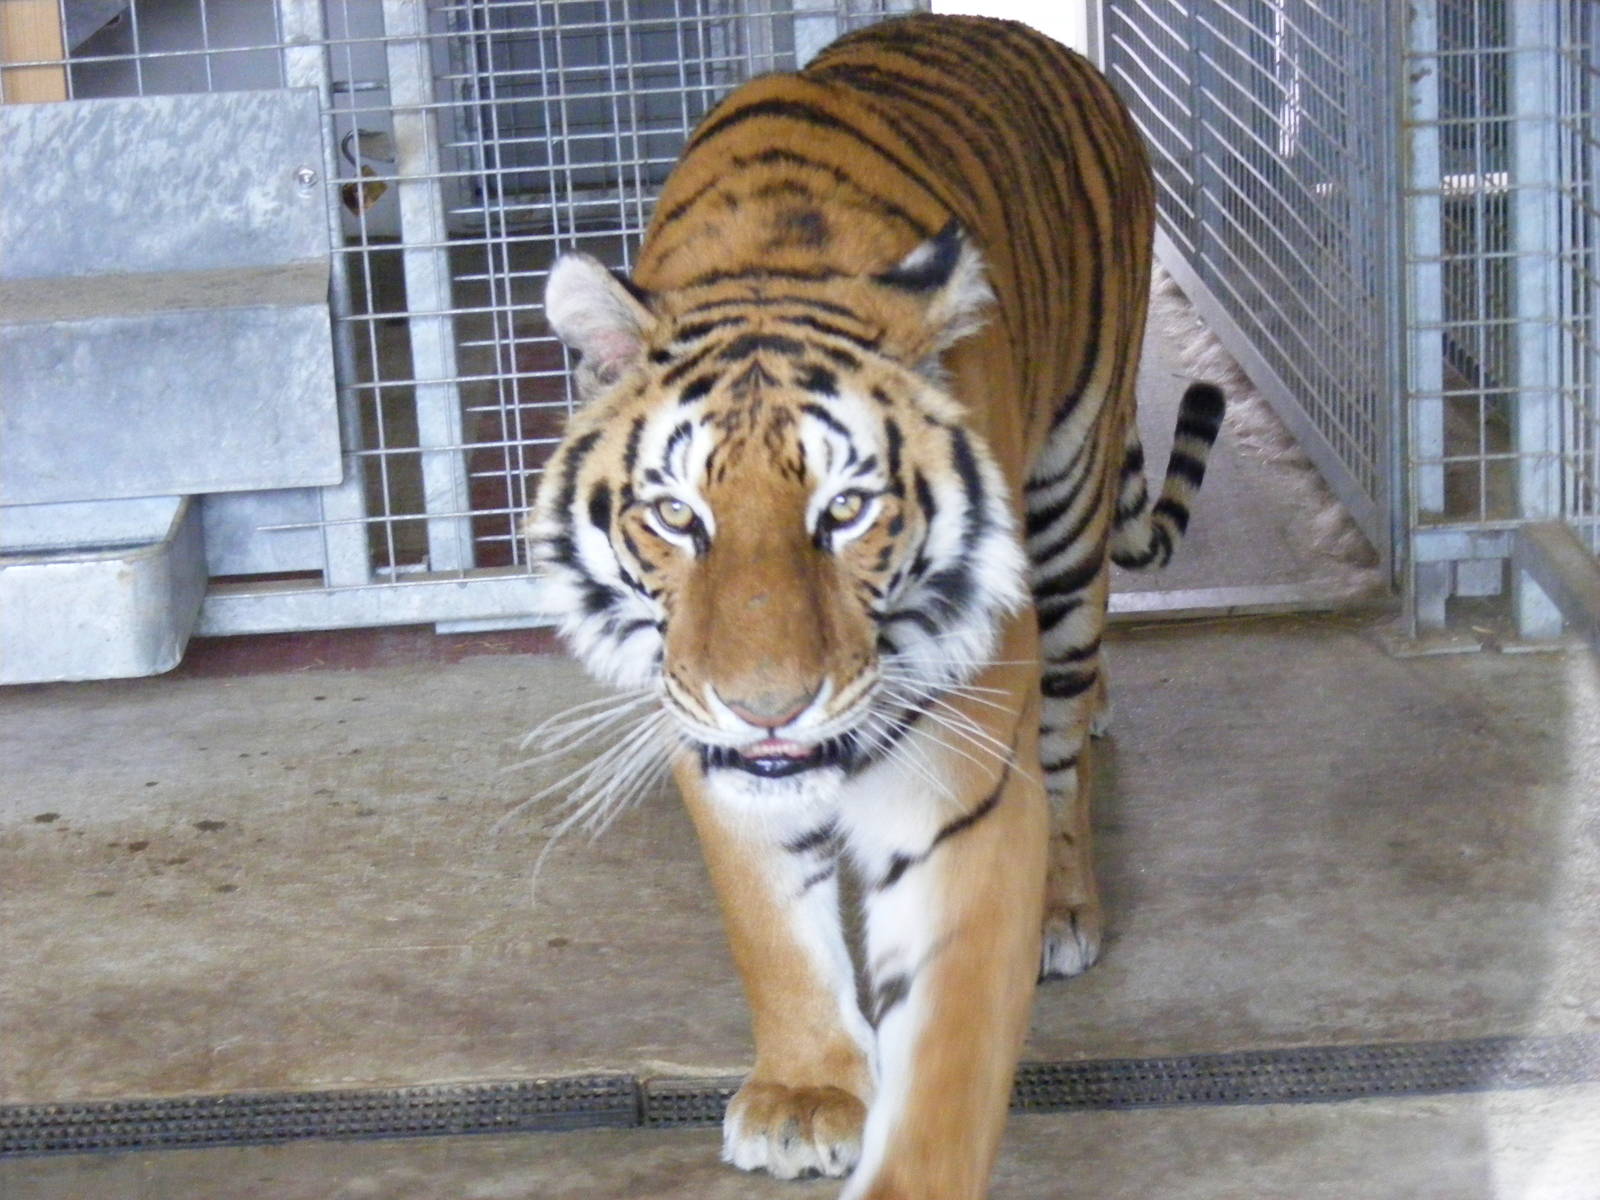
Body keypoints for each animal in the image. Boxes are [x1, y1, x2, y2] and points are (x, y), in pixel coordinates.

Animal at [527, 13, 1224, 1198]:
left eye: (846, 508)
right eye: (675, 514)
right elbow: (773, 928)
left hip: (1066, 509)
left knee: (1063, 733)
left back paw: (1065, 905)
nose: (768, 708)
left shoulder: (965, 769)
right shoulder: (712, 746)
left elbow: (952, 1039)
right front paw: (805, 1096)